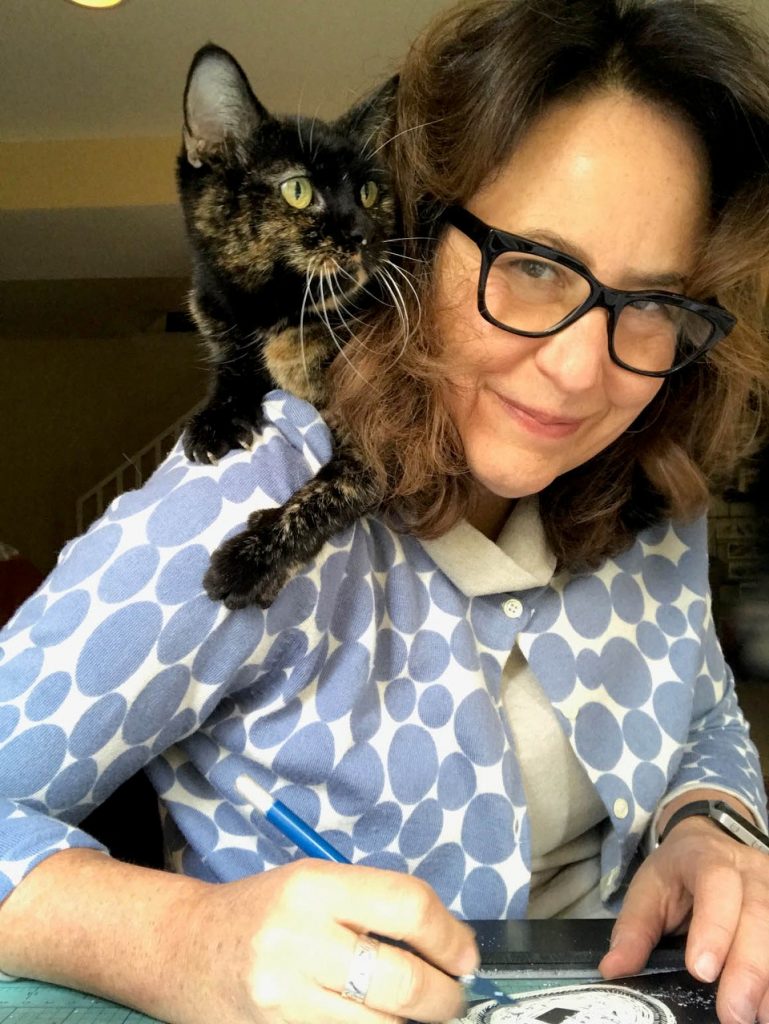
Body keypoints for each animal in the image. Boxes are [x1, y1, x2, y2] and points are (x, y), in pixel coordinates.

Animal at [177, 44, 399, 606]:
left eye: (369, 192)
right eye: (298, 190)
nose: (363, 233)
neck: (271, 317)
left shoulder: (383, 442)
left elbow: (328, 492)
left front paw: (252, 557)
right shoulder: (217, 322)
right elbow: (231, 377)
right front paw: (215, 420)